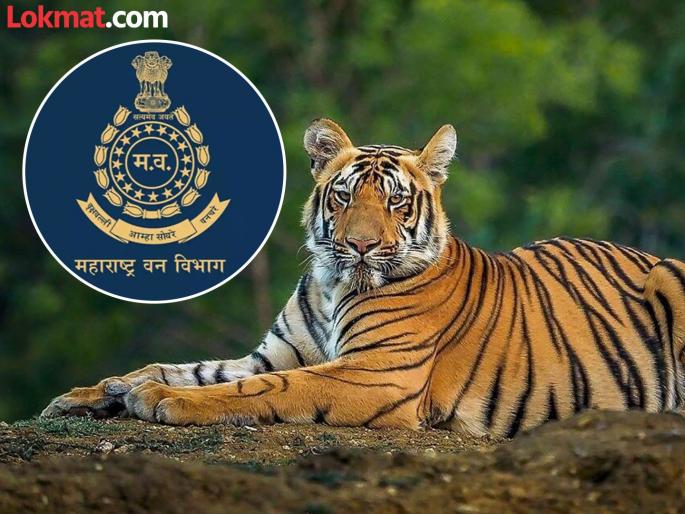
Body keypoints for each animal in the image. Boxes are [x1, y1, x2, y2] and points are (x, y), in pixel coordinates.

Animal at [41, 118, 685, 438]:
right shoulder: (273, 353)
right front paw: (95, 393)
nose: (359, 245)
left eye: (397, 202)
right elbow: (186, 367)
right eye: (346, 196)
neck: (332, 284)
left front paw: (158, 400)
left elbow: (259, 389)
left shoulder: (375, 374)